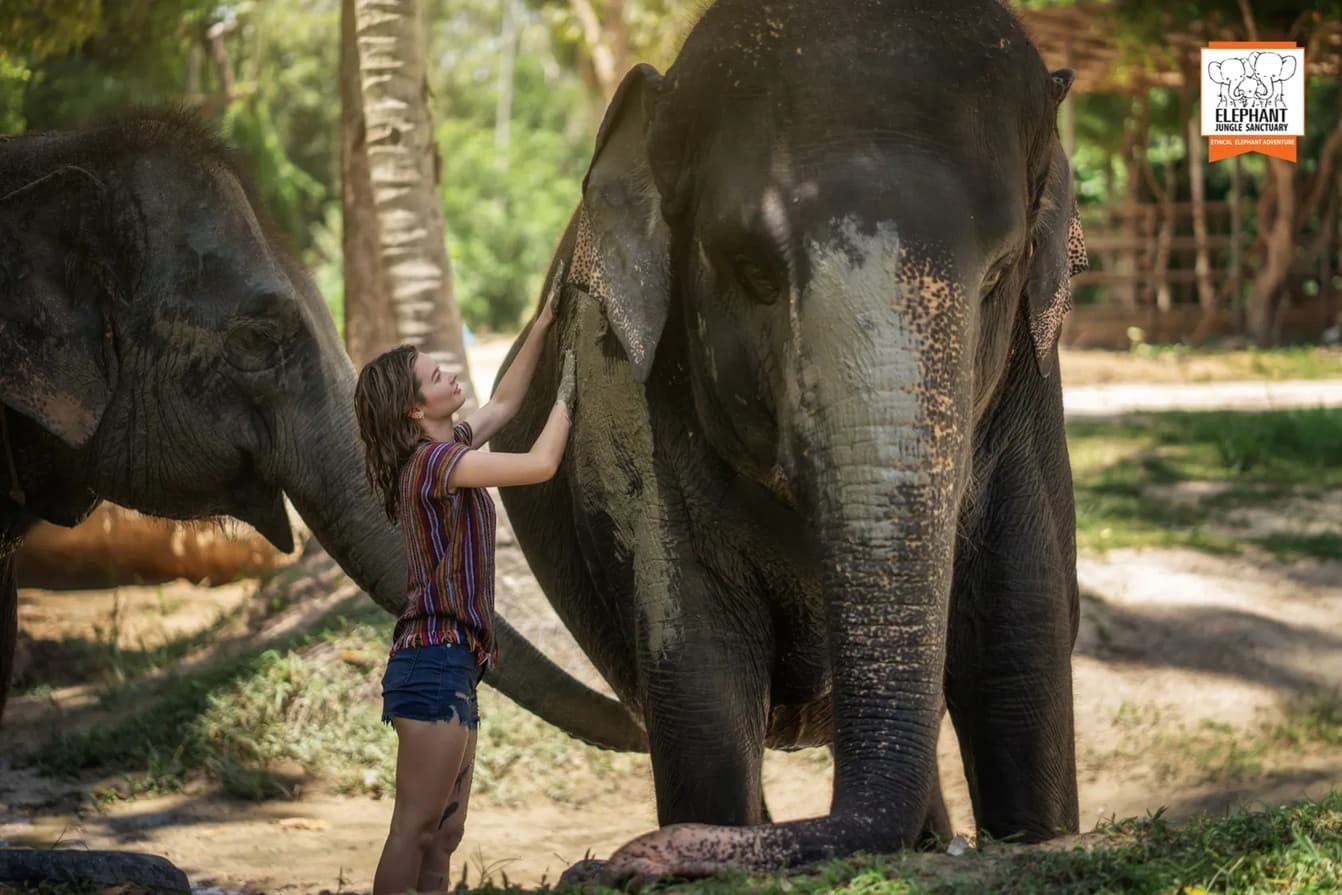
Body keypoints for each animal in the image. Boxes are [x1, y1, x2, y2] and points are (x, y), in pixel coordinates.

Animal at [492, 0, 1088, 877]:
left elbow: (1017, 647)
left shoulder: (1028, 392)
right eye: (754, 273)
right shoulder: (633, 396)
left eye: (996, 275)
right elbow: (701, 676)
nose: (611, 862)